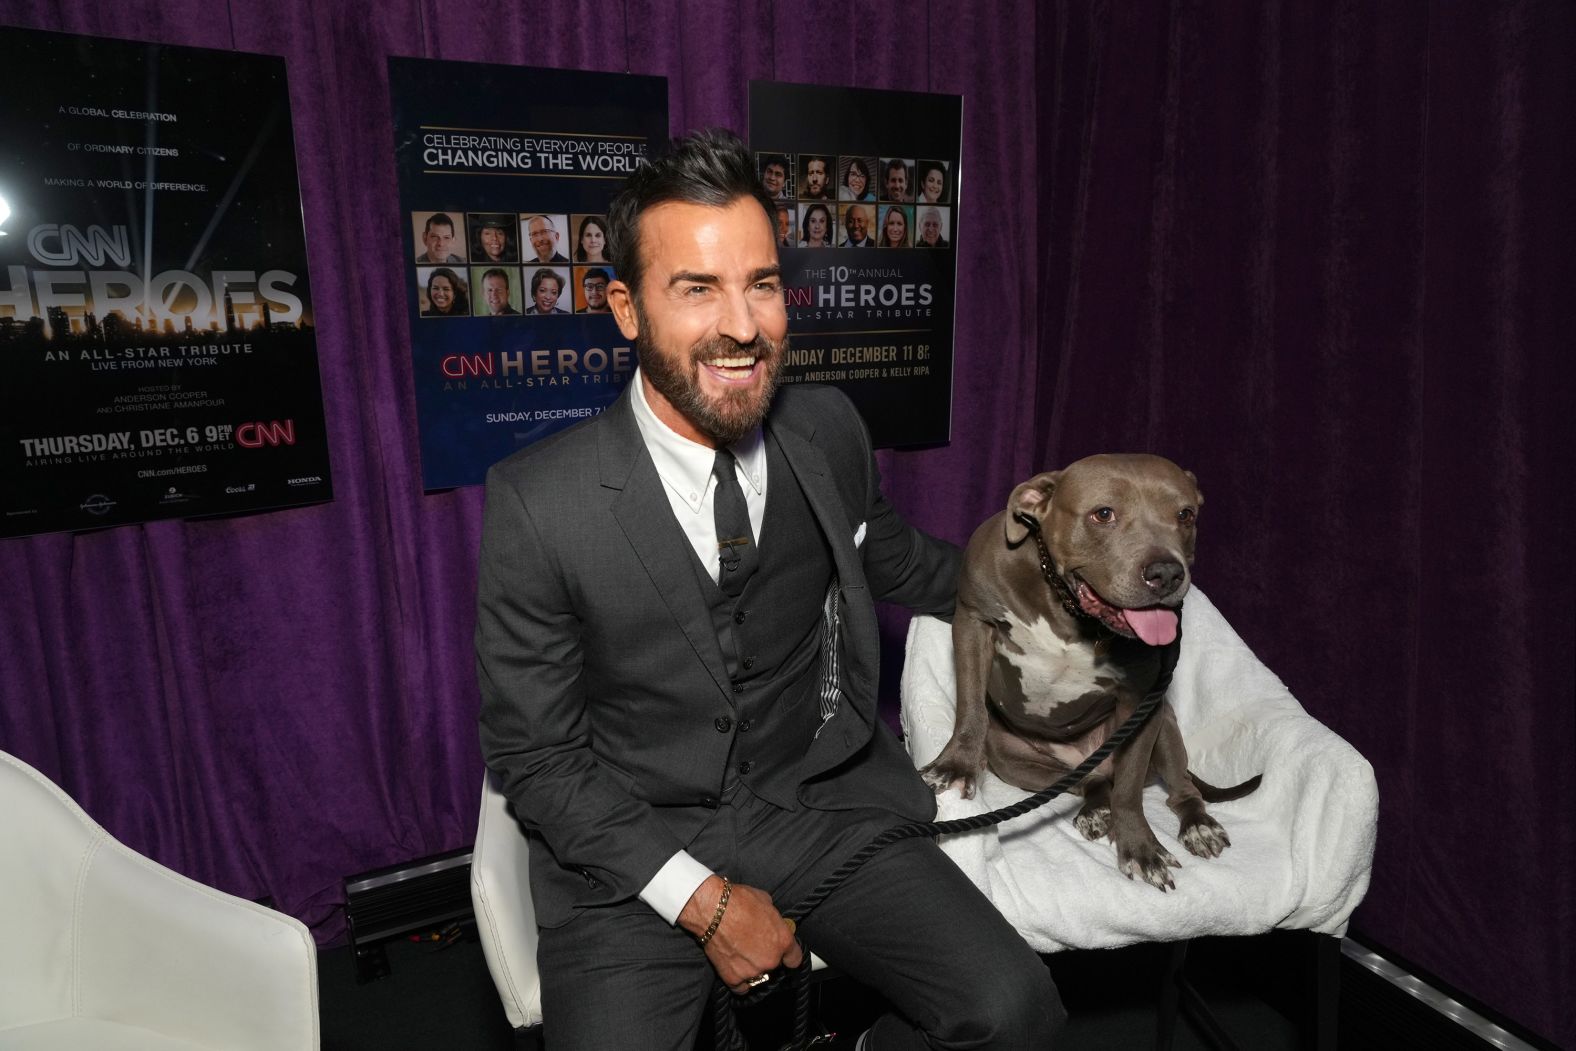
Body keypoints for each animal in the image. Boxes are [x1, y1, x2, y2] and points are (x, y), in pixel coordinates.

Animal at [920, 456, 1260, 895]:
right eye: (1103, 514)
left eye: (1185, 515)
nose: (1167, 573)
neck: (1067, 605)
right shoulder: (971, 621)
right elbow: (970, 707)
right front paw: (957, 765)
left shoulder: (1142, 703)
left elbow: (1129, 790)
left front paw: (1140, 849)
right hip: (1018, 762)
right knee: (1090, 781)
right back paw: (1097, 809)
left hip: (1164, 726)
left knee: (1178, 789)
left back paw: (1197, 825)